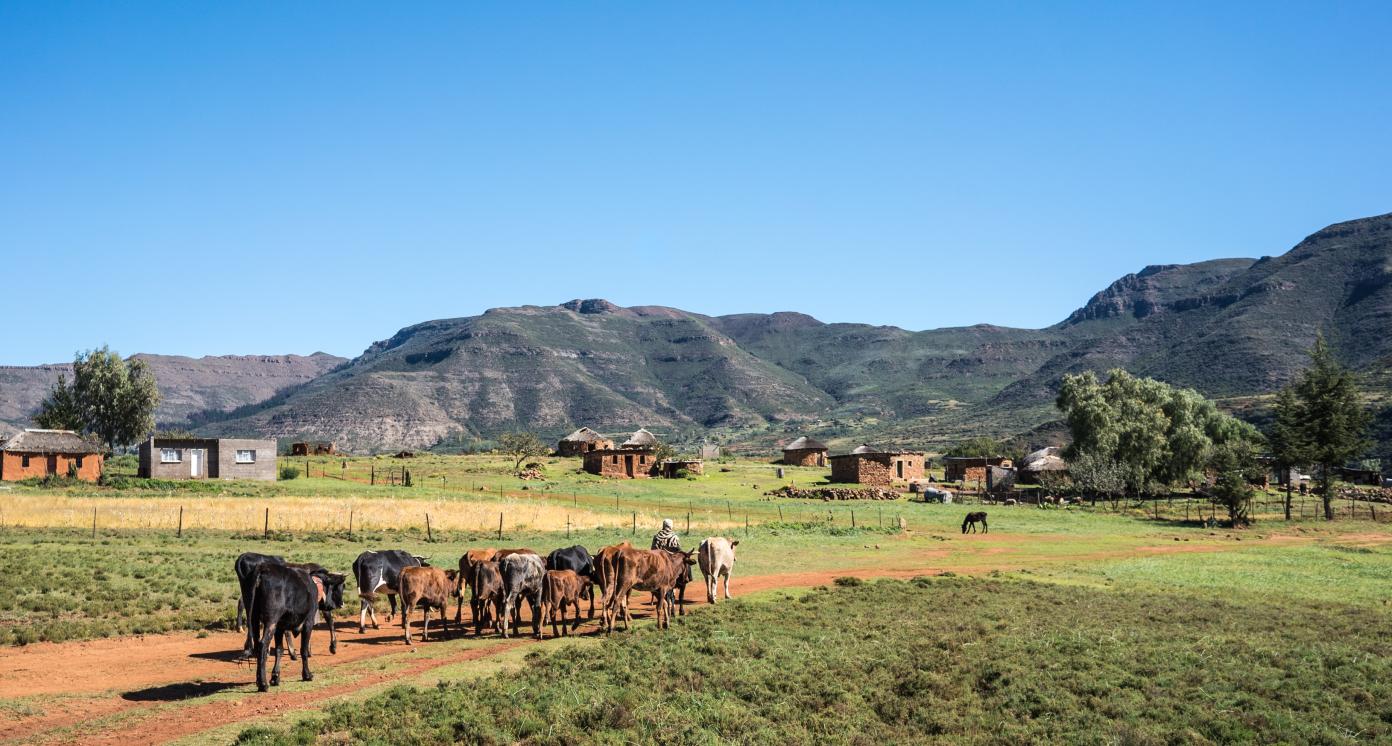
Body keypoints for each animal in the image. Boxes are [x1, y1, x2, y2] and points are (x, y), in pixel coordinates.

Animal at [244, 565, 345, 693]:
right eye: (335, 588)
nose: (338, 604)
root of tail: (262, 570)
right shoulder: (308, 623)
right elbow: (304, 650)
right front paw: (307, 675)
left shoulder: (280, 628)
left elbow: (279, 650)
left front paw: (275, 677)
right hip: (271, 621)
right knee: (263, 645)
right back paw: (263, 684)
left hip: (254, 619)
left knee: (258, 646)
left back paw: (259, 681)